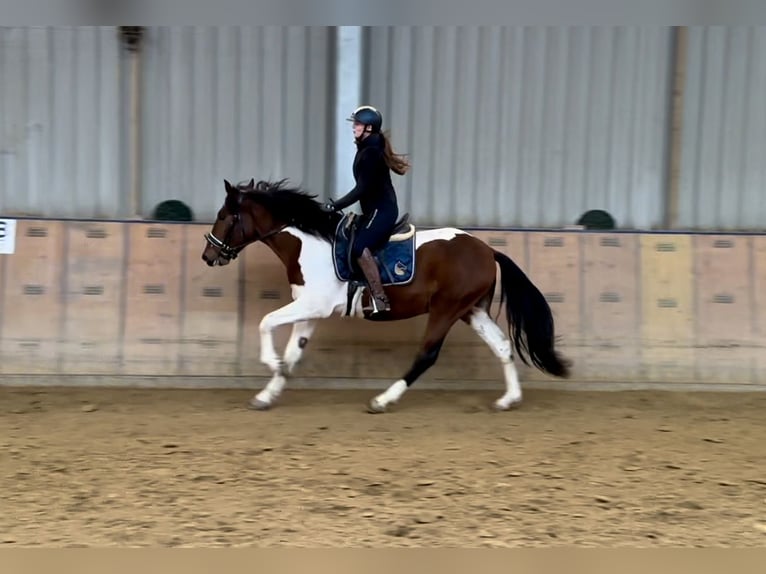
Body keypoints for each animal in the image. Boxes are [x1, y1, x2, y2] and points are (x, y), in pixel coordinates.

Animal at [201, 179, 572, 414]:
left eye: (223, 217)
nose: (208, 255)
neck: (309, 242)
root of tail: (488, 250)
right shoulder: (311, 311)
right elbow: (294, 354)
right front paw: (267, 394)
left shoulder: (311, 305)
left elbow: (266, 323)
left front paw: (271, 363)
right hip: (470, 310)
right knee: (502, 346)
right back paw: (509, 400)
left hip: (446, 309)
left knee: (426, 355)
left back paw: (382, 401)